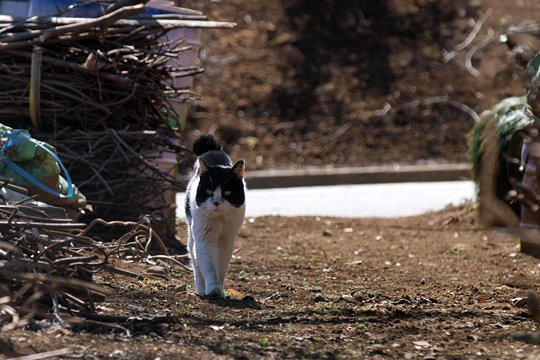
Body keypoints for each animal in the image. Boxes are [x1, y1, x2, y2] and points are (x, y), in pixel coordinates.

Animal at [185, 134, 246, 296]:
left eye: (227, 192)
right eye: (209, 191)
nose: (217, 202)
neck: (220, 220)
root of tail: (212, 150)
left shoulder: (227, 240)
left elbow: (221, 266)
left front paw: (220, 290)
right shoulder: (204, 239)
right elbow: (208, 265)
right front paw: (213, 289)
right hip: (192, 235)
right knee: (195, 261)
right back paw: (201, 289)